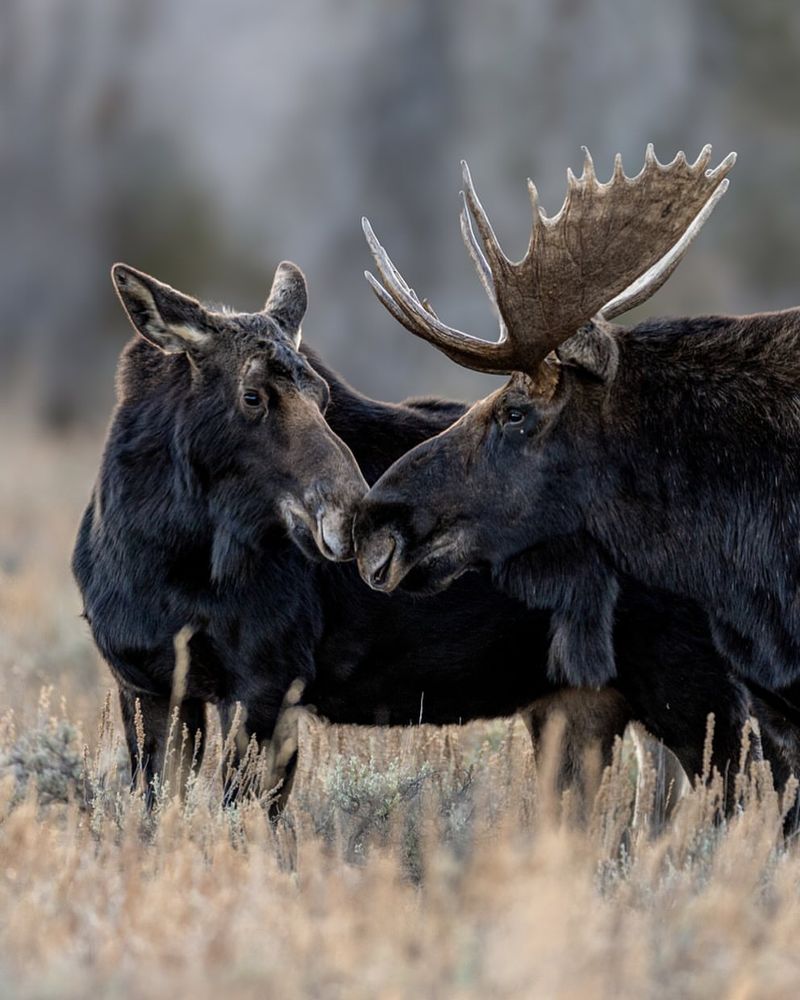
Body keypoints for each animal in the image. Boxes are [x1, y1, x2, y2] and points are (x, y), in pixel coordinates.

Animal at [73, 254, 792, 816]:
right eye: (253, 396)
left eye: (321, 394)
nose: (355, 515)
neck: (160, 555)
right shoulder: (144, 685)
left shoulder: (270, 678)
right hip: (607, 700)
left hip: (704, 686)